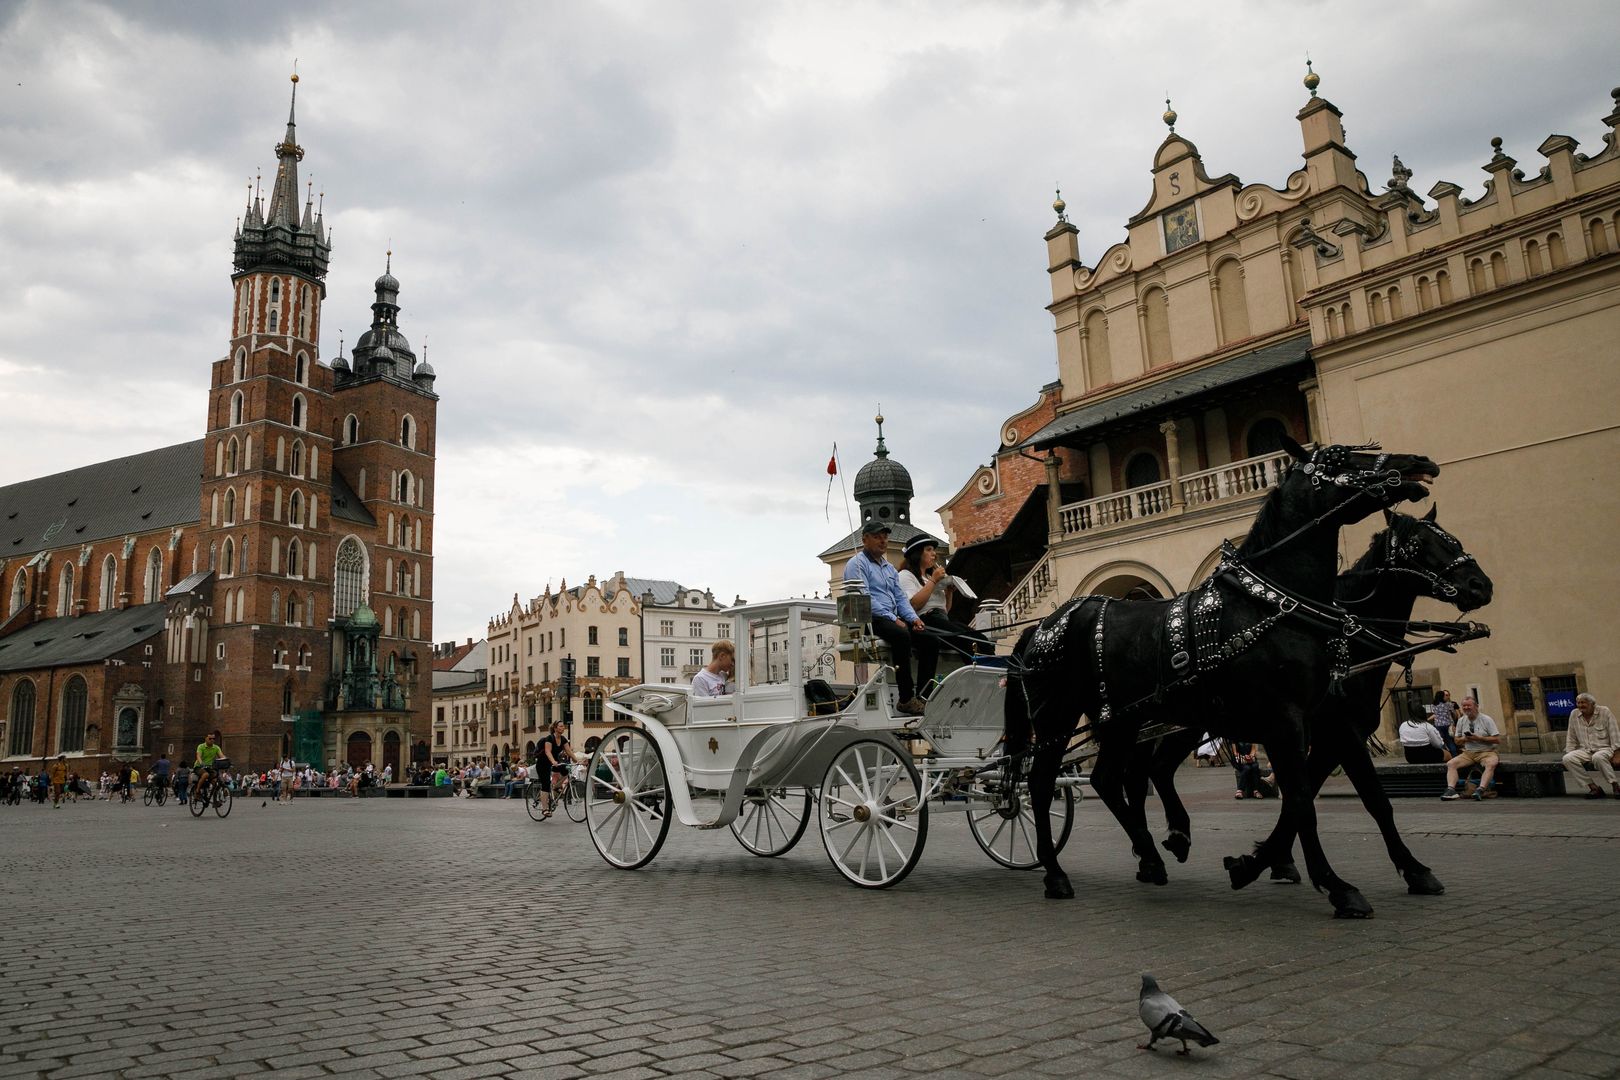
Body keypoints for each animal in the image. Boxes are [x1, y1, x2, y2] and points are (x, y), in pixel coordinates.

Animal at [1004, 433, 1438, 919]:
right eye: (1339, 459)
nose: (1417, 461)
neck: (1272, 604)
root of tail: (1041, 626)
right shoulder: (1286, 721)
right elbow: (1301, 800)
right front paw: (1334, 884)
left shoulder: (1319, 721)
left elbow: (1343, 797)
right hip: (1057, 718)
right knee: (1043, 784)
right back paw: (1056, 872)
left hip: (1121, 719)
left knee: (1110, 779)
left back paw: (1152, 856)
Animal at [1140, 508, 1490, 913]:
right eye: (1418, 545)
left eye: (1453, 539)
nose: (1481, 586)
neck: (1346, 632)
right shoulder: (1338, 730)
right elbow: (1370, 799)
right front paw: (1412, 869)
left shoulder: (1325, 738)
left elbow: (1300, 798)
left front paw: (1266, 860)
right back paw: (1157, 851)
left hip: (1188, 722)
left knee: (1155, 769)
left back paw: (1164, 846)